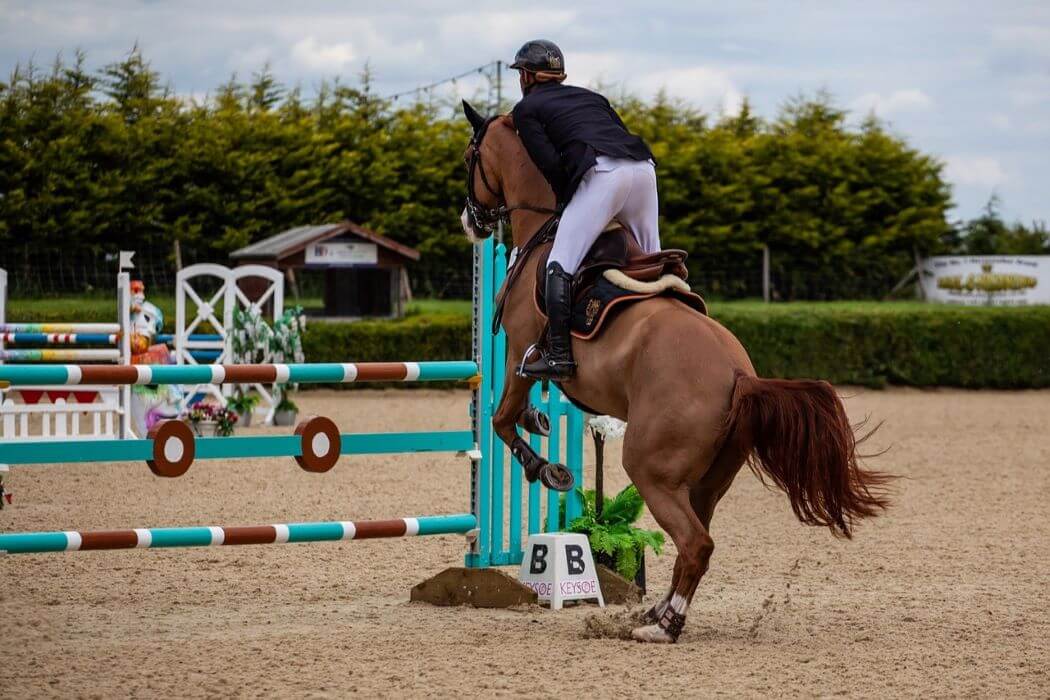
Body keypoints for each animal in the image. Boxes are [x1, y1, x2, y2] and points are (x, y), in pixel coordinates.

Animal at [461, 101, 894, 642]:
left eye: (468, 158)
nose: (469, 221)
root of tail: (741, 377)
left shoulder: (522, 350)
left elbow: (501, 419)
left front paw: (547, 468)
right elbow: (519, 414)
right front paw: (538, 423)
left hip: (651, 469)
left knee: (695, 543)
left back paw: (664, 625)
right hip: (706, 479)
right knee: (697, 538)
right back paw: (657, 612)